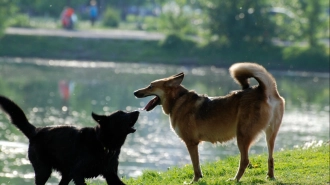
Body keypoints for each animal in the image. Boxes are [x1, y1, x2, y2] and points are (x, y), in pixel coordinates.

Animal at [0, 96, 139, 184]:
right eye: (121, 114)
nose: (137, 111)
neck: (102, 143)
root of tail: (36, 131)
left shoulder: (111, 175)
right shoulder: (77, 173)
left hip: (65, 175)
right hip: (44, 171)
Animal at [133, 62, 284, 183]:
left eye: (151, 86)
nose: (135, 92)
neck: (177, 99)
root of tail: (263, 90)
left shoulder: (191, 143)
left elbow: (195, 166)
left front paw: (194, 181)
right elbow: (197, 166)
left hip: (242, 136)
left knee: (245, 161)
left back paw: (235, 179)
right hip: (270, 135)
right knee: (270, 158)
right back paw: (270, 176)